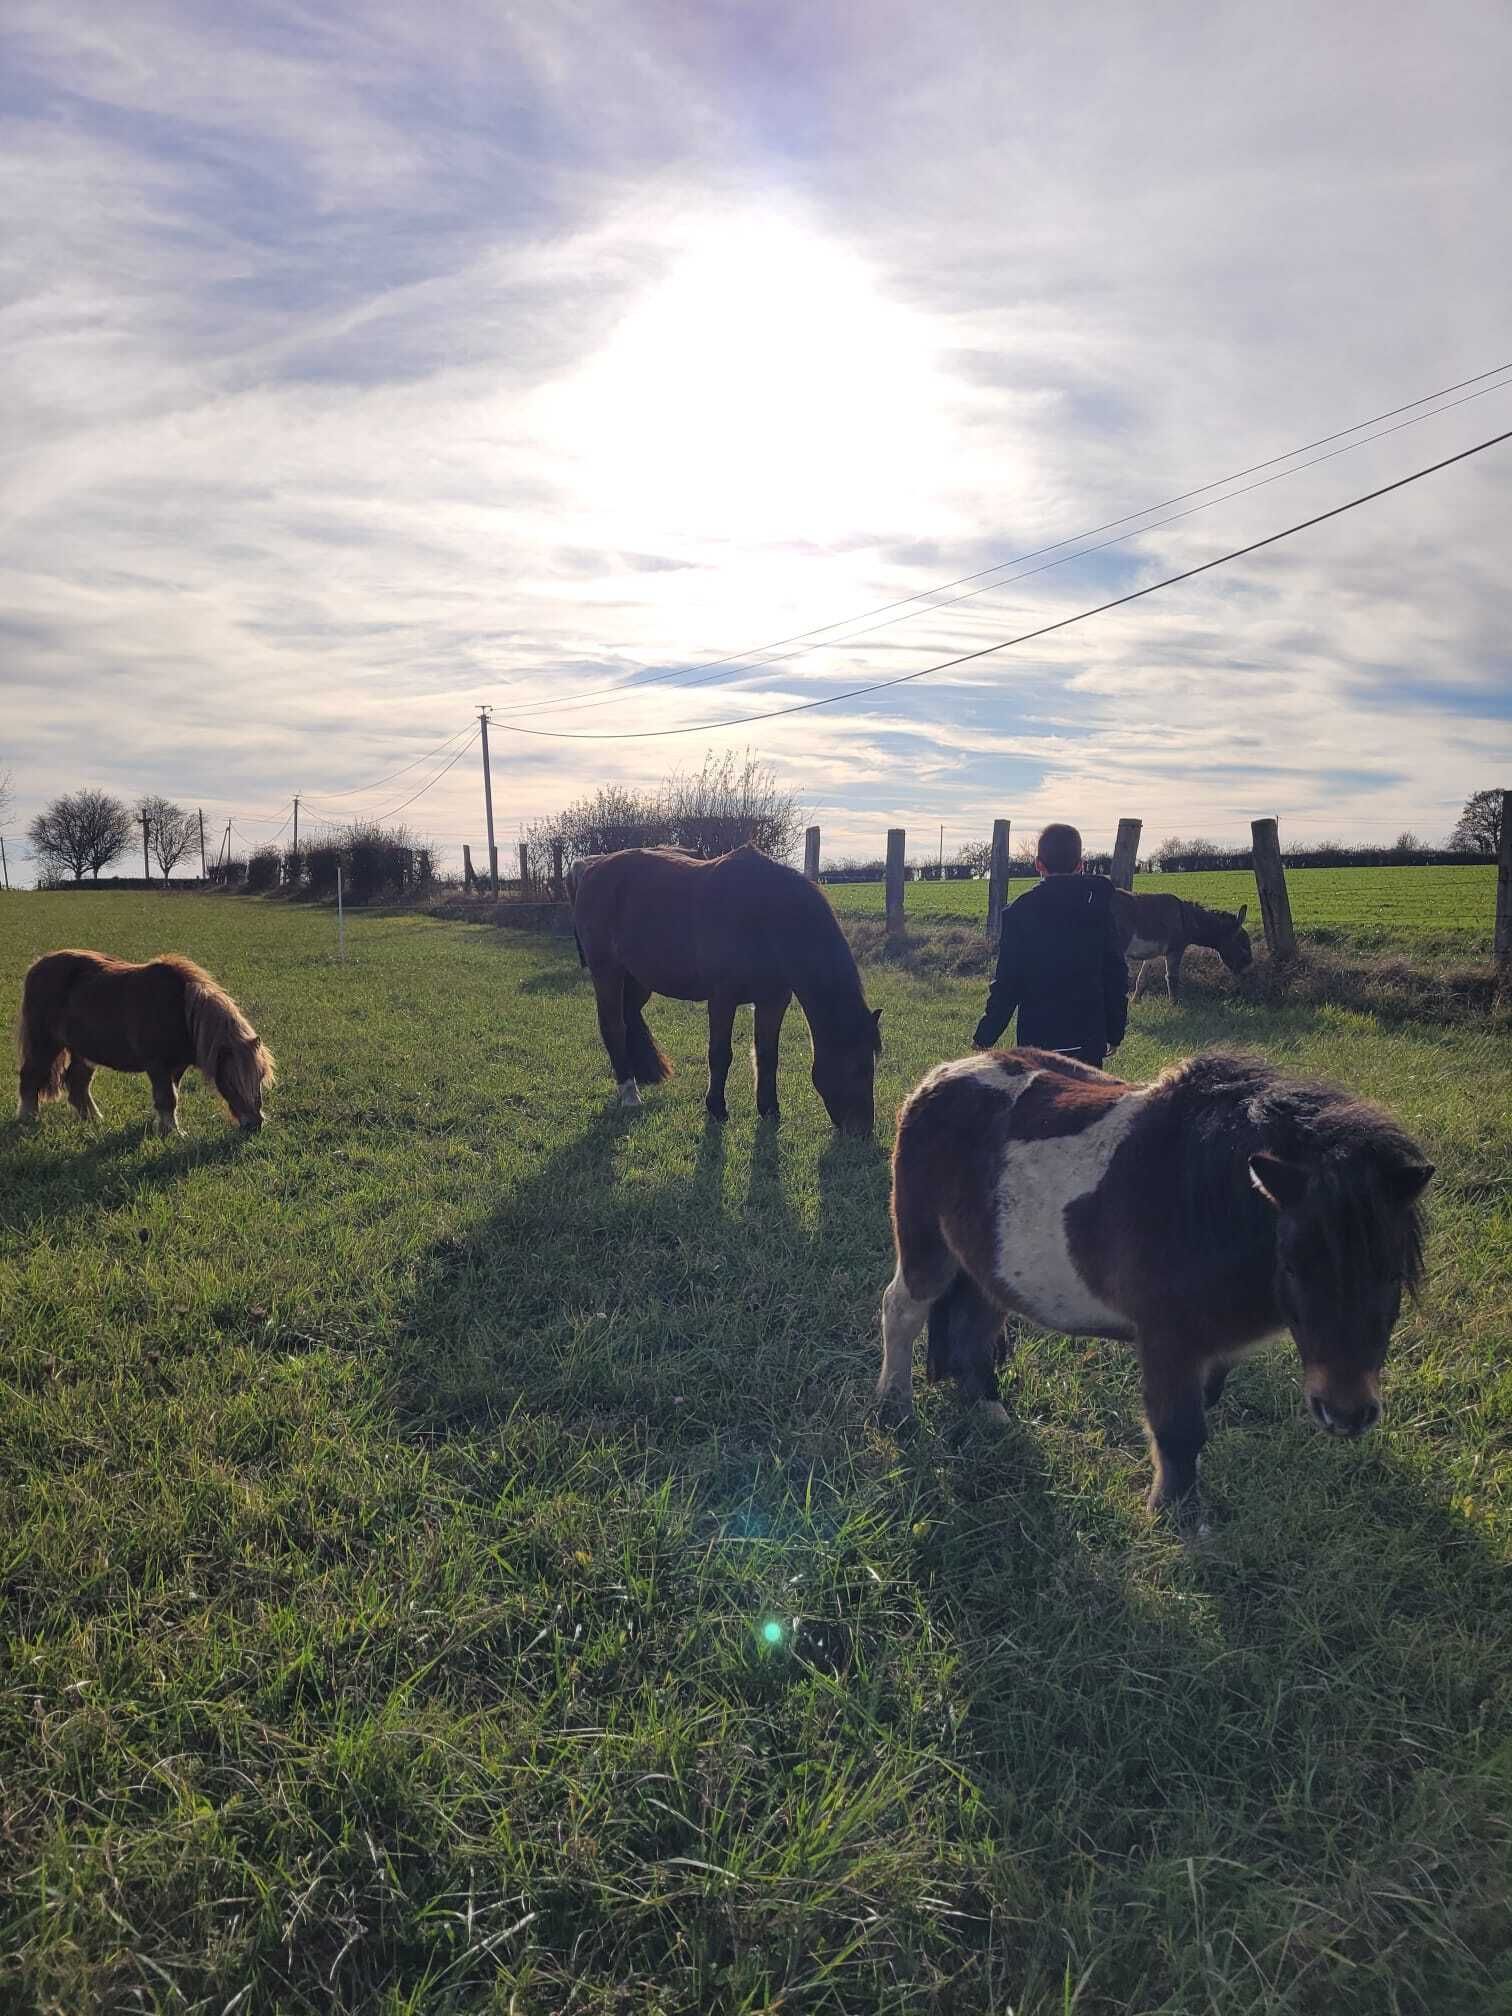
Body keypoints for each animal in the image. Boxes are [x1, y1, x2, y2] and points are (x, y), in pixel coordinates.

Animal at [16, 949, 276, 1136]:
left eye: (260, 1078)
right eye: (230, 1081)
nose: (255, 1124)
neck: (181, 1011)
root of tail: (36, 966)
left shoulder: (176, 1068)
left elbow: (171, 1097)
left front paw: (166, 1128)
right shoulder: (157, 1066)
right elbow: (167, 1098)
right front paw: (173, 1133)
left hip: (84, 1051)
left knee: (78, 1083)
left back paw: (94, 1119)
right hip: (44, 1044)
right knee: (31, 1076)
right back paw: (28, 1118)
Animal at [570, 844, 882, 1134]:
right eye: (856, 1067)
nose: (862, 1130)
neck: (766, 916)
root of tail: (590, 868)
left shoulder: (773, 1000)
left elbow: (768, 1054)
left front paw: (769, 1108)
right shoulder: (722, 999)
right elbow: (720, 1054)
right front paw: (717, 1108)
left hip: (638, 980)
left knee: (630, 1017)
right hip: (607, 973)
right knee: (613, 1027)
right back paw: (629, 1092)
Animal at [876, 1047, 1432, 1518]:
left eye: (1393, 1273)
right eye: (1293, 1265)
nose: (1346, 1413)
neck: (1206, 1205)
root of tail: (937, 1078)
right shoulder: (1168, 1339)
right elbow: (1179, 1429)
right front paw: (1177, 1522)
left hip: (986, 1261)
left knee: (976, 1324)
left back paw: (987, 1410)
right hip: (926, 1246)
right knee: (900, 1310)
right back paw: (895, 1407)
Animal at [1112, 889, 1252, 1002]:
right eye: (1244, 950)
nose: (1245, 981)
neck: (1186, 919)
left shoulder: (1154, 954)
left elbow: (1142, 978)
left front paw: (1135, 1001)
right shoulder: (1176, 950)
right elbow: (1172, 977)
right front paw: (1174, 1004)